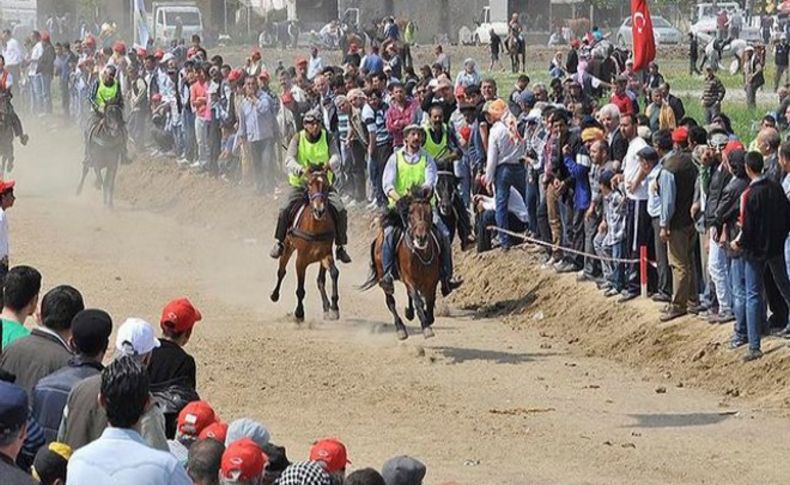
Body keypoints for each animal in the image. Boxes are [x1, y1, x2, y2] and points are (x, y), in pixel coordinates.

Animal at [272, 165, 340, 322]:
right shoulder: (301, 260)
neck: (315, 228)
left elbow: (334, 273)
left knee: (320, 280)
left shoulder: (325, 254)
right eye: (309, 184)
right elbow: (300, 289)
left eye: (326, 185)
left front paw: (334, 308)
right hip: (287, 246)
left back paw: (327, 306)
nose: (319, 210)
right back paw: (274, 295)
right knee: (281, 270)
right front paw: (299, 313)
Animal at [362, 187, 442, 338]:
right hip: (383, 276)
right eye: (410, 213)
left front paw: (425, 318)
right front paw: (426, 327)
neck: (420, 254)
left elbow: (429, 303)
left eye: (429, 212)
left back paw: (409, 314)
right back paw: (400, 328)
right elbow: (417, 300)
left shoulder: (431, 282)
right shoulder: (409, 279)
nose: (421, 237)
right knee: (390, 301)